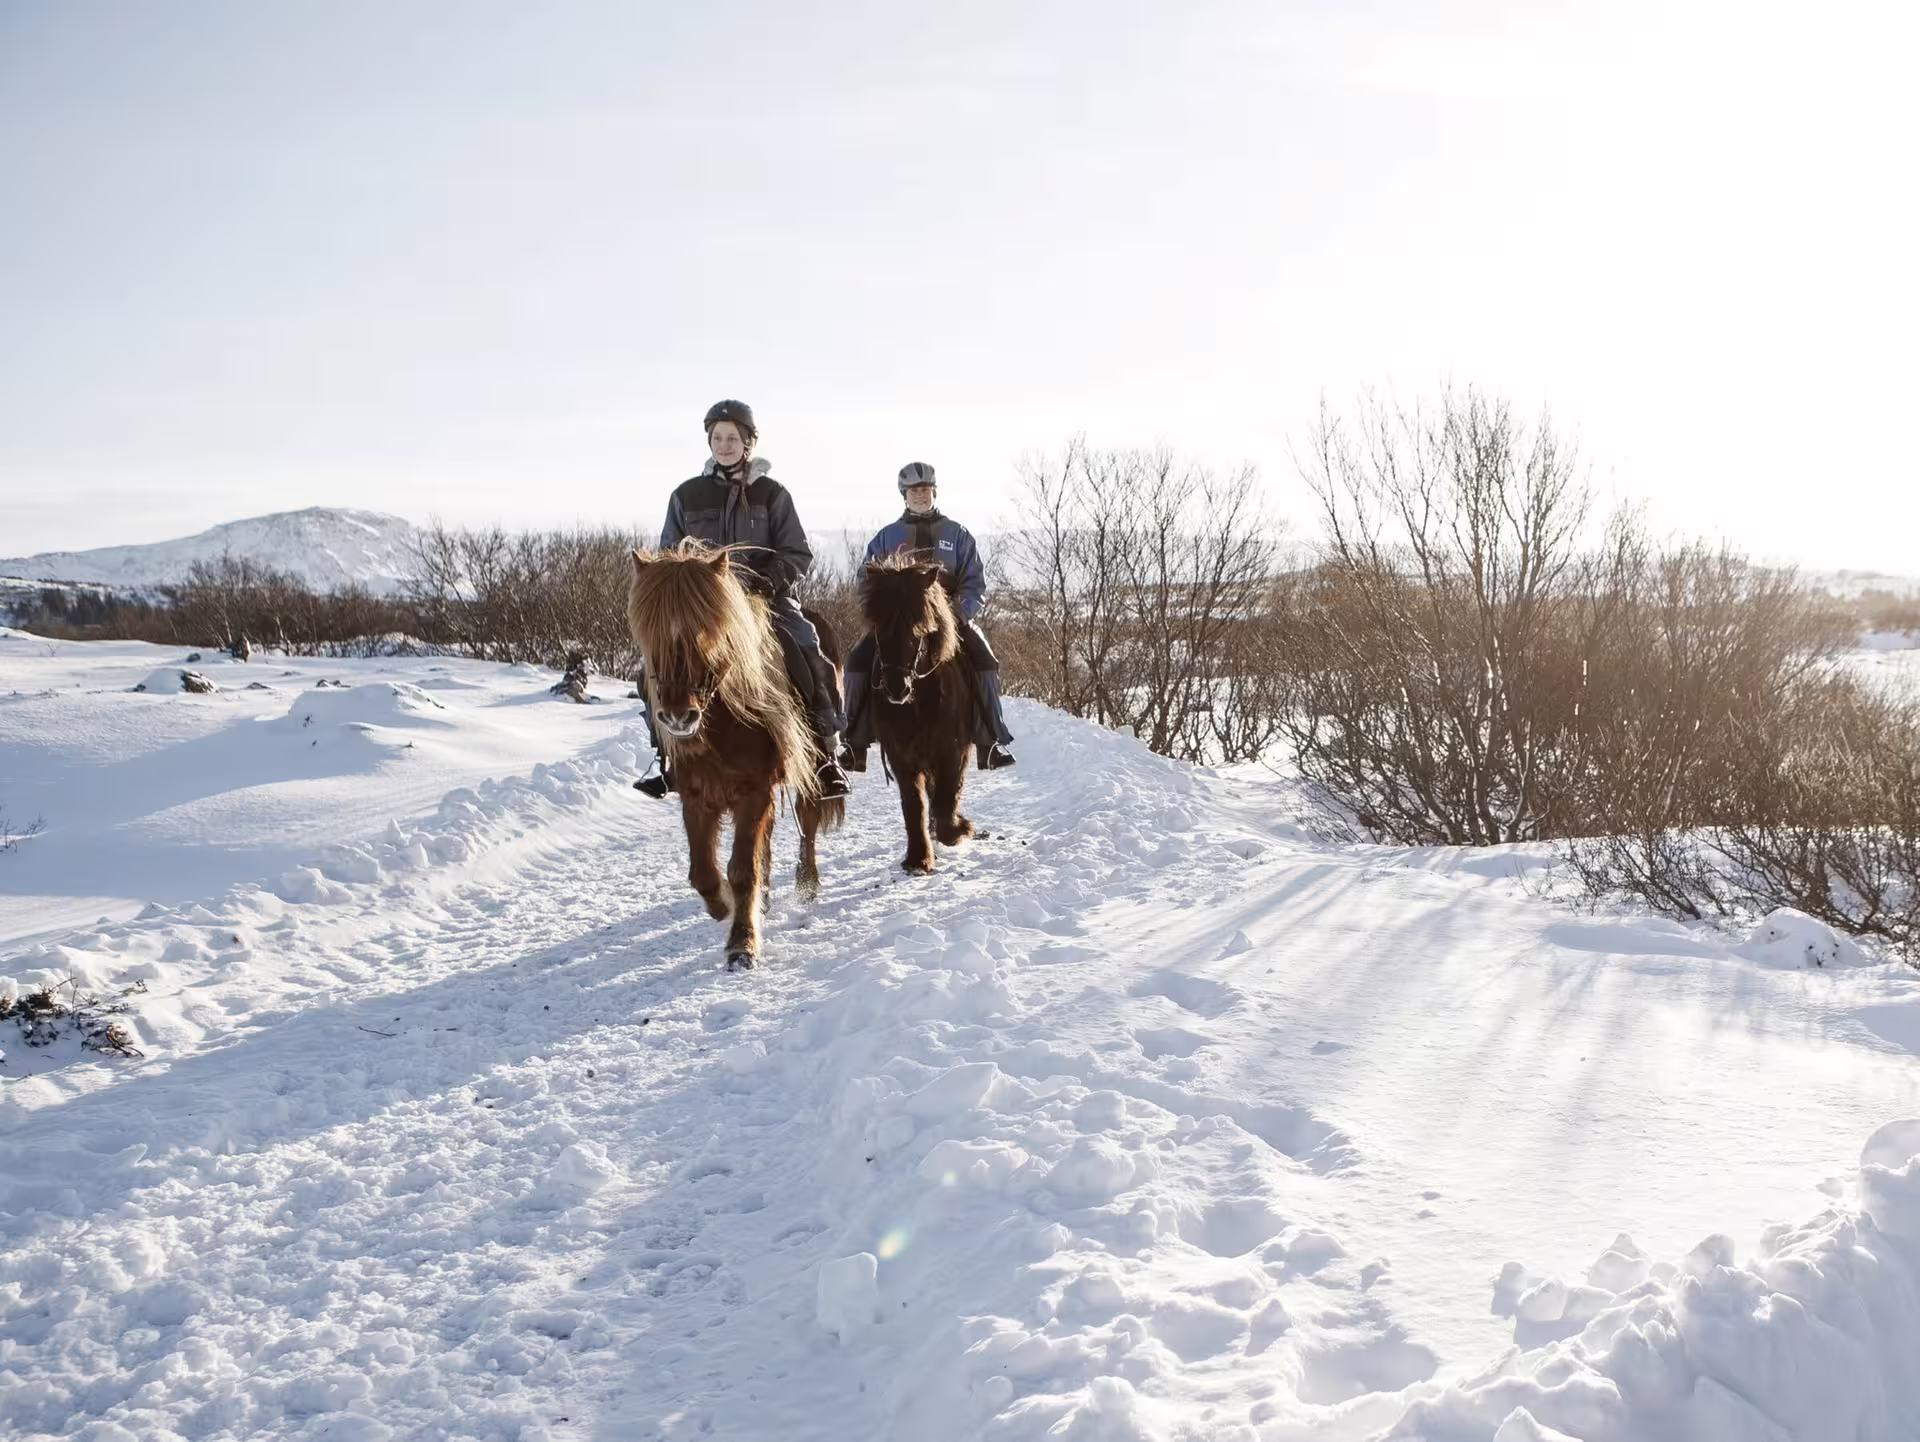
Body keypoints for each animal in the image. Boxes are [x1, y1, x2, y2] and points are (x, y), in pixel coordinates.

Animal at [627, 542, 845, 968]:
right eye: (649, 633)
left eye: (706, 631)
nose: (678, 716)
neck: (720, 724)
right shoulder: (696, 794)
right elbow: (704, 873)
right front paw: (724, 907)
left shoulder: (754, 790)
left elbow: (743, 869)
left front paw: (742, 943)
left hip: (811, 770)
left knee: (808, 823)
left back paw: (807, 884)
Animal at [859, 556, 978, 873]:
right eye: (879, 626)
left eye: (919, 626)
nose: (896, 687)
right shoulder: (901, 754)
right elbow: (915, 805)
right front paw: (918, 858)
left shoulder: (953, 749)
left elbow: (948, 796)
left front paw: (958, 829)